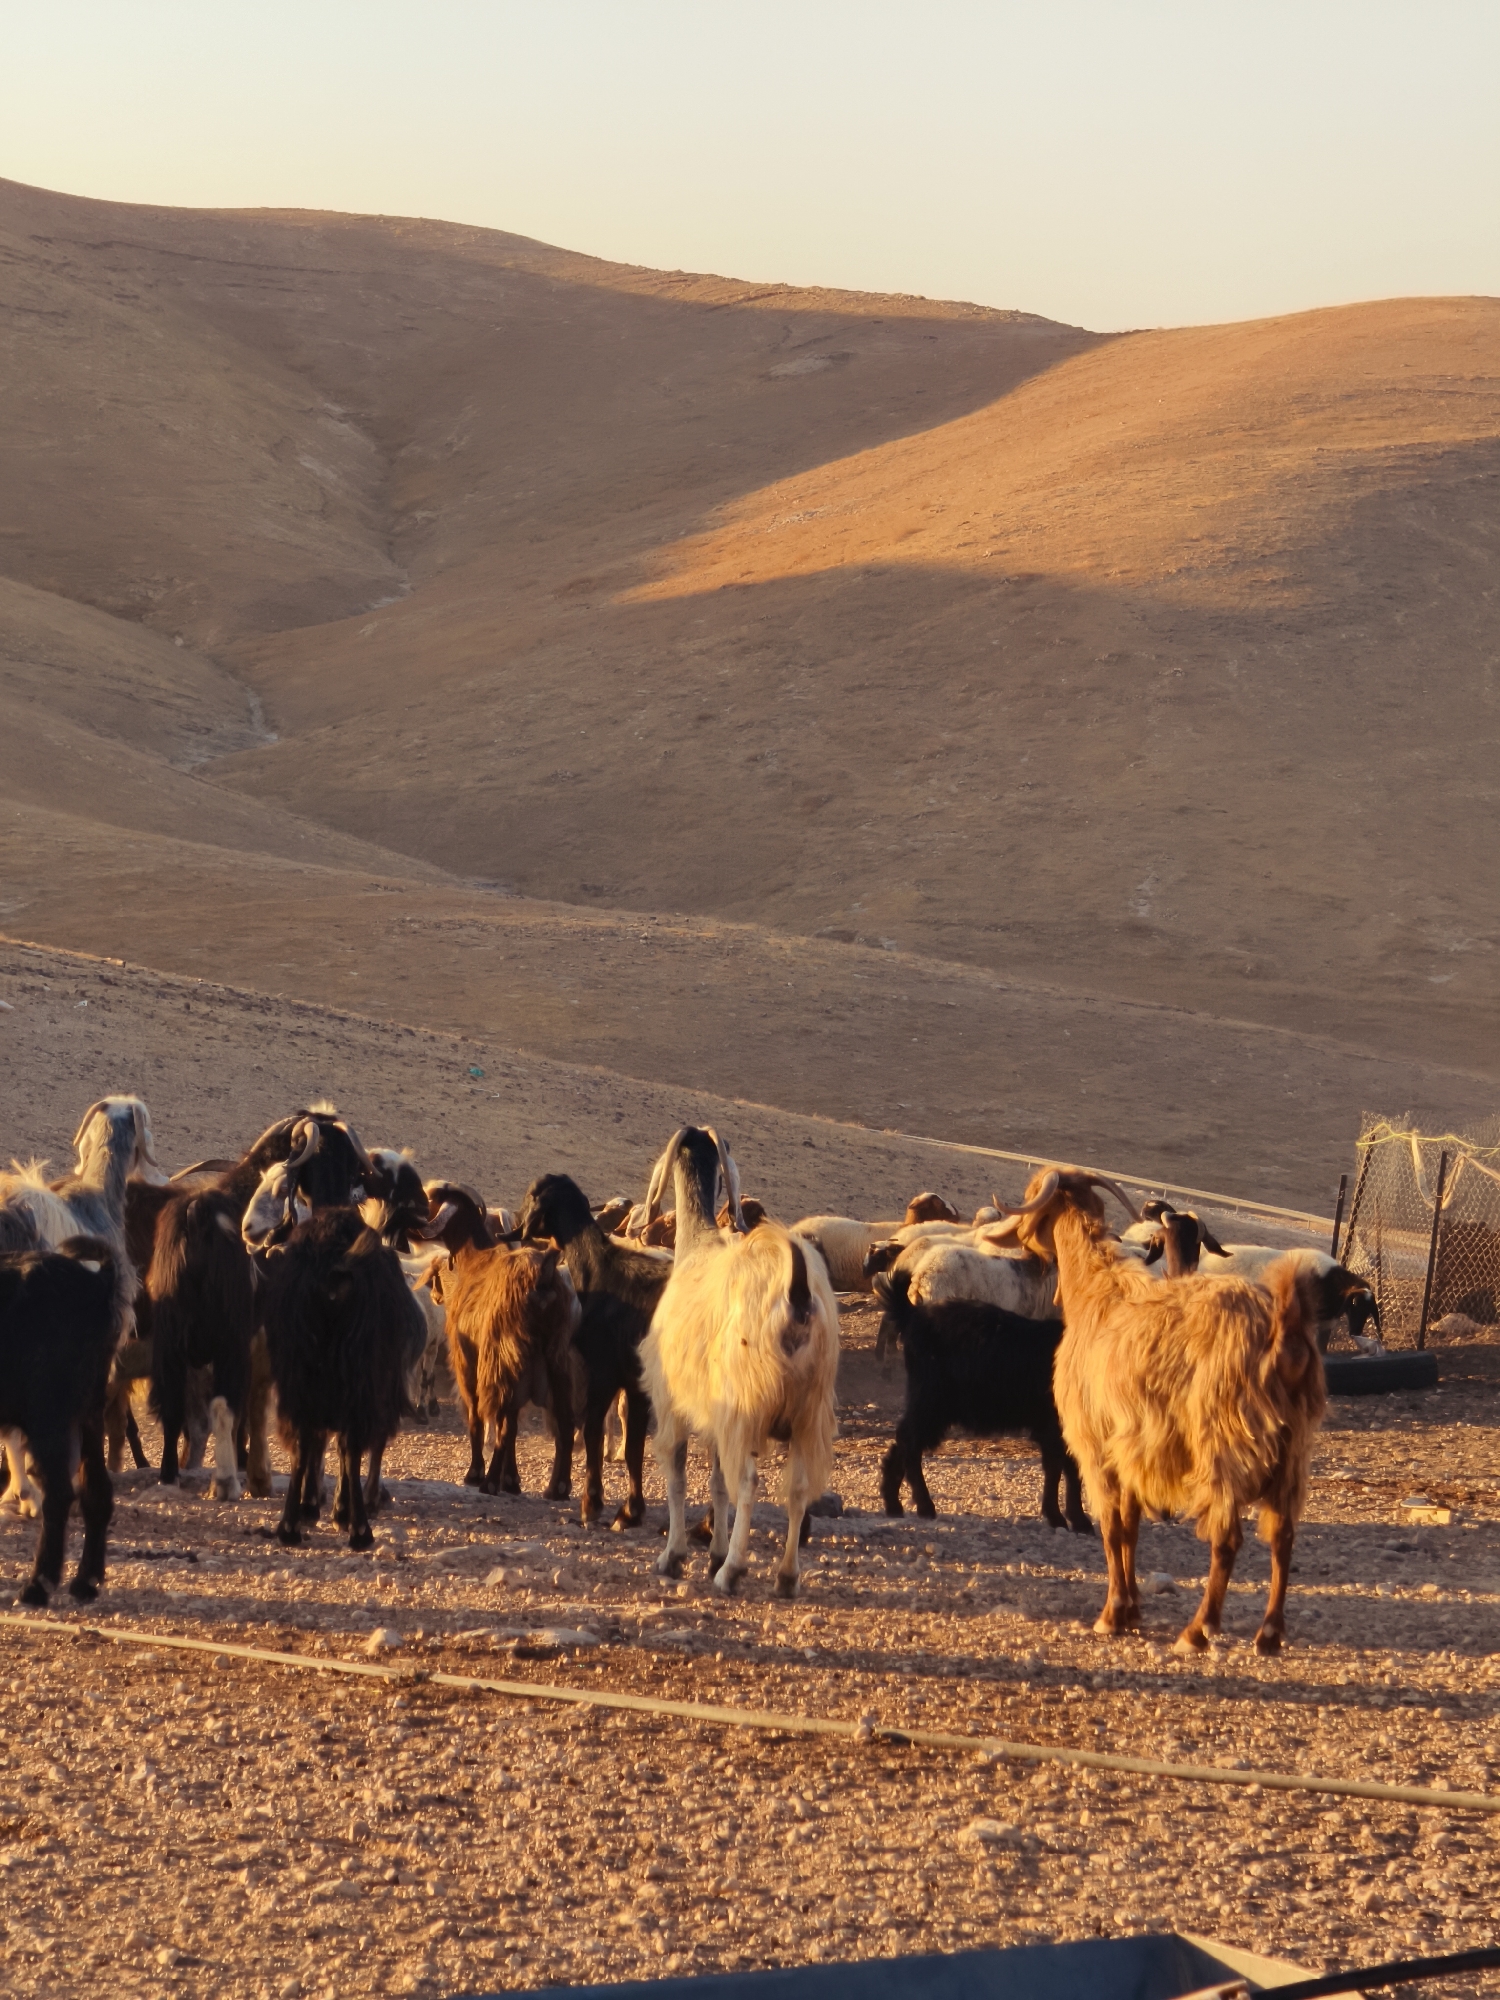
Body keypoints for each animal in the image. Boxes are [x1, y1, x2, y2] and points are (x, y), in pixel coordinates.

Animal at [0, 1237, 117, 1604]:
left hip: (50, 1415)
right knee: (97, 1490)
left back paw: (39, 1584)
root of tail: (98, 1283)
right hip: (90, 1414)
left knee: (59, 1495)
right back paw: (86, 1581)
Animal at [423, 1187, 580, 1496]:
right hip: (557, 1366)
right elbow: (515, 1424)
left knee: (501, 1426)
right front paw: (513, 1480)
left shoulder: (468, 1363)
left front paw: (477, 1474)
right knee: (563, 1425)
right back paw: (557, 1487)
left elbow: (477, 1418)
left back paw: (490, 1482)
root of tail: (543, 1274)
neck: (475, 1260)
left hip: (500, 1365)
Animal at [642, 1127, 838, 1597]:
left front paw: (674, 1557)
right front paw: (712, 1552)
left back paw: (732, 1571)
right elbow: (716, 1484)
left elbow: (677, 1478)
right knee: (797, 1488)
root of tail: (797, 1293)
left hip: (745, 1406)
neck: (696, 1247)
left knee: (748, 1482)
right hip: (808, 1410)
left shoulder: (673, 1404)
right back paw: (786, 1577)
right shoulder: (718, 1419)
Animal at [874, 1269, 1088, 1531]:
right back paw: (924, 1506)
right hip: (931, 1398)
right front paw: (1058, 1518)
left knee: (903, 1440)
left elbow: (1073, 1470)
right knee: (909, 1440)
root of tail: (912, 1314)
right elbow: (1057, 1467)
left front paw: (1078, 1520)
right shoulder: (1052, 1426)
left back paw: (893, 1504)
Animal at [1000, 1167, 1327, 1654]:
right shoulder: (1135, 1449)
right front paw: (1132, 1607)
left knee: (1227, 1539)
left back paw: (1198, 1631)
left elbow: (1111, 1527)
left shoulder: (1097, 1447)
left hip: (1224, 1443)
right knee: (1283, 1537)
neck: (1096, 1291)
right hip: (1294, 1452)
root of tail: (1282, 1335)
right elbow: (1131, 1527)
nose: (1015, 1240)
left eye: (1029, 1196)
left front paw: (1112, 1614)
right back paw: (1268, 1634)